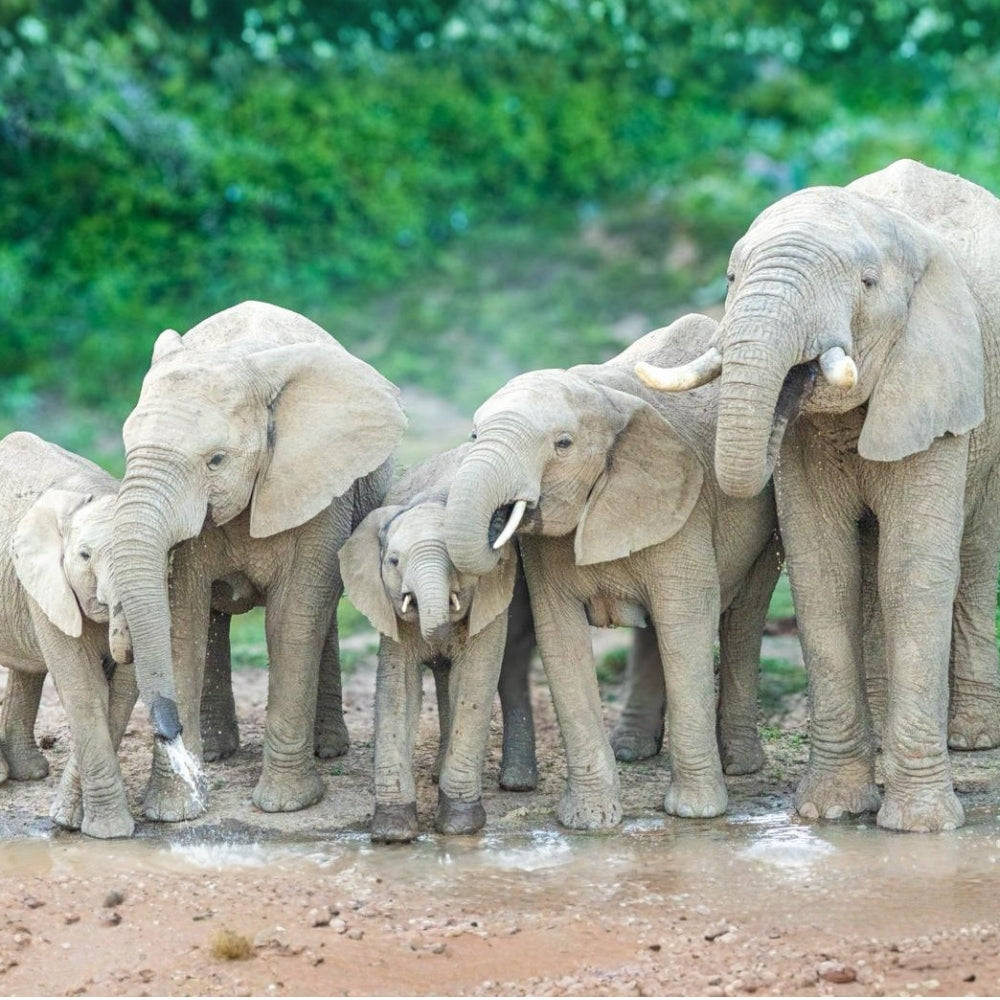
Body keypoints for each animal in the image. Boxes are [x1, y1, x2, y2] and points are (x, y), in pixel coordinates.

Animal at [0, 431, 136, 838]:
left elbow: (119, 692)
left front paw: (71, 819)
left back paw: (30, 773)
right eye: (84, 556)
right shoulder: (45, 585)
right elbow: (85, 689)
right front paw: (107, 833)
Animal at [112, 300, 407, 821]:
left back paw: (328, 750)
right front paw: (174, 811)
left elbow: (292, 619)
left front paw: (286, 805)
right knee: (213, 617)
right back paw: (215, 752)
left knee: (318, 612)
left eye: (216, 460)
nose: (169, 729)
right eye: (128, 449)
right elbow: (183, 621)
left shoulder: (316, 484)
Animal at [340, 442, 539, 842]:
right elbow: (398, 684)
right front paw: (392, 832)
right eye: (394, 561)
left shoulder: (494, 590)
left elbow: (475, 678)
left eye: (459, 563)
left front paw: (459, 826)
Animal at [444, 314, 782, 830]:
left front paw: (695, 813)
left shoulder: (683, 507)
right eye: (474, 436)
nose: (500, 522)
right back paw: (632, 751)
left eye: (562, 445)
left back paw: (739, 765)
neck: (601, 396)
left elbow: (687, 623)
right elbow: (560, 637)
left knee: (742, 617)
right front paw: (590, 821)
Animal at [637, 158, 1000, 832]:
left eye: (866, 282)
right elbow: (822, 570)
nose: (794, 376)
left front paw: (921, 826)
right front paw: (829, 810)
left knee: (976, 547)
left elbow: (914, 569)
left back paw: (972, 738)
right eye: (731, 278)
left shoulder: (936, 374)